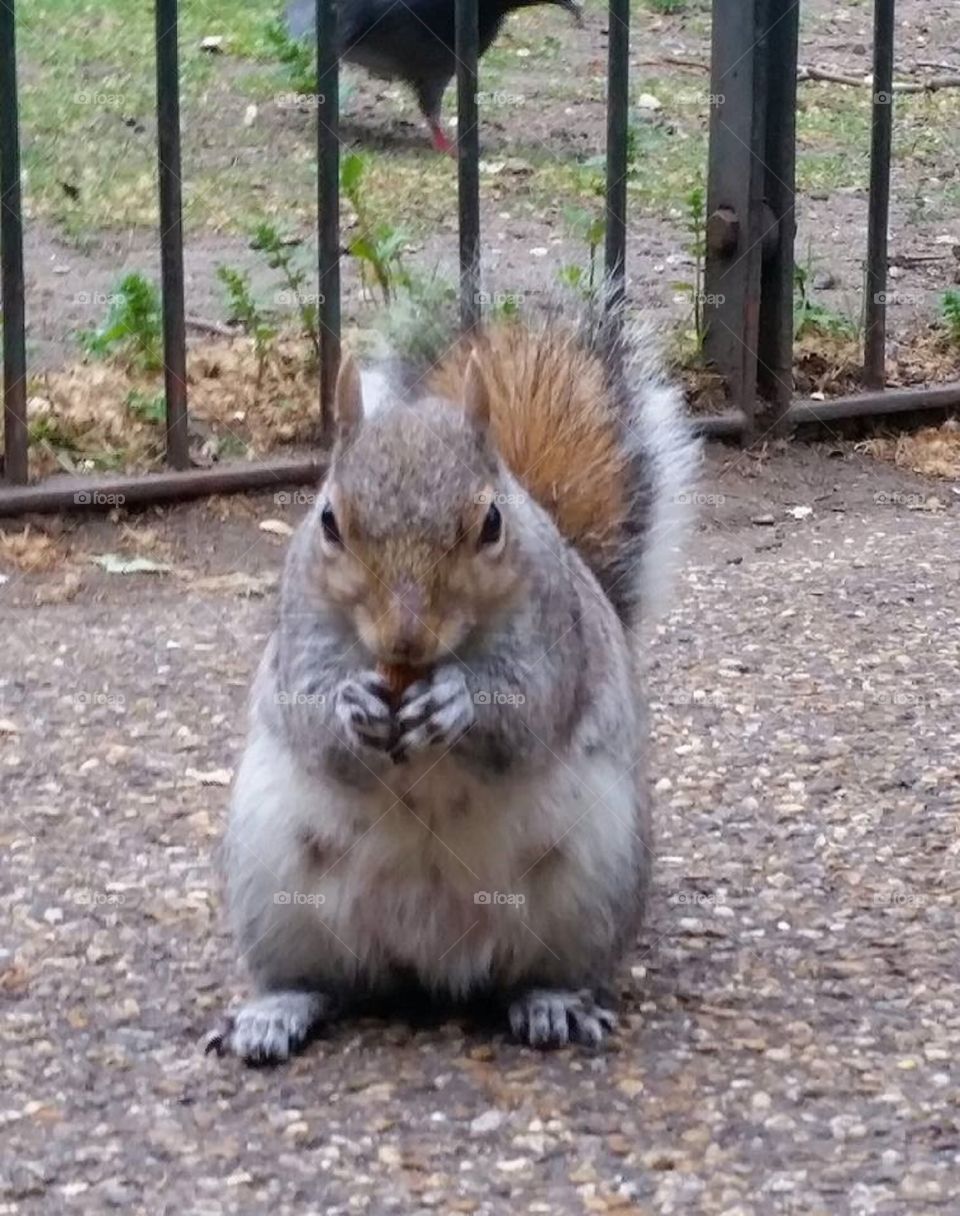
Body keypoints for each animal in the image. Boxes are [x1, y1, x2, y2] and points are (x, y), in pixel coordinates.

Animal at [207, 298, 699, 1062]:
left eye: (491, 522)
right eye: (329, 521)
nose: (405, 638)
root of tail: (430, 967)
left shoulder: (554, 642)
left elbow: (527, 714)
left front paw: (458, 703)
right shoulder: (300, 638)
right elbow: (310, 716)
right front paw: (350, 705)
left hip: (596, 881)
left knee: (547, 971)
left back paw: (554, 1004)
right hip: (273, 885)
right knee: (318, 980)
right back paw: (274, 1012)